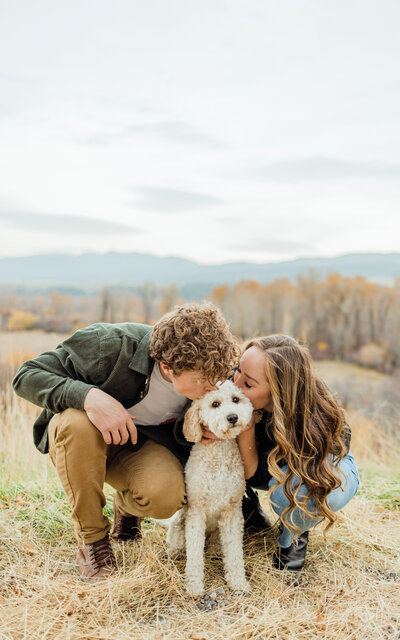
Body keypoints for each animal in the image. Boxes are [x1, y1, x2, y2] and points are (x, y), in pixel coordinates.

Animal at [167, 380, 252, 596]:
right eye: (215, 404)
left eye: (236, 399)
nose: (232, 417)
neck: (219, 453)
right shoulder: (196, 512)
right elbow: (195, 555)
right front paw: (194, 585)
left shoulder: (232, 512)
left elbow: (235, 553)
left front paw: (238, 582)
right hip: (179, 526)